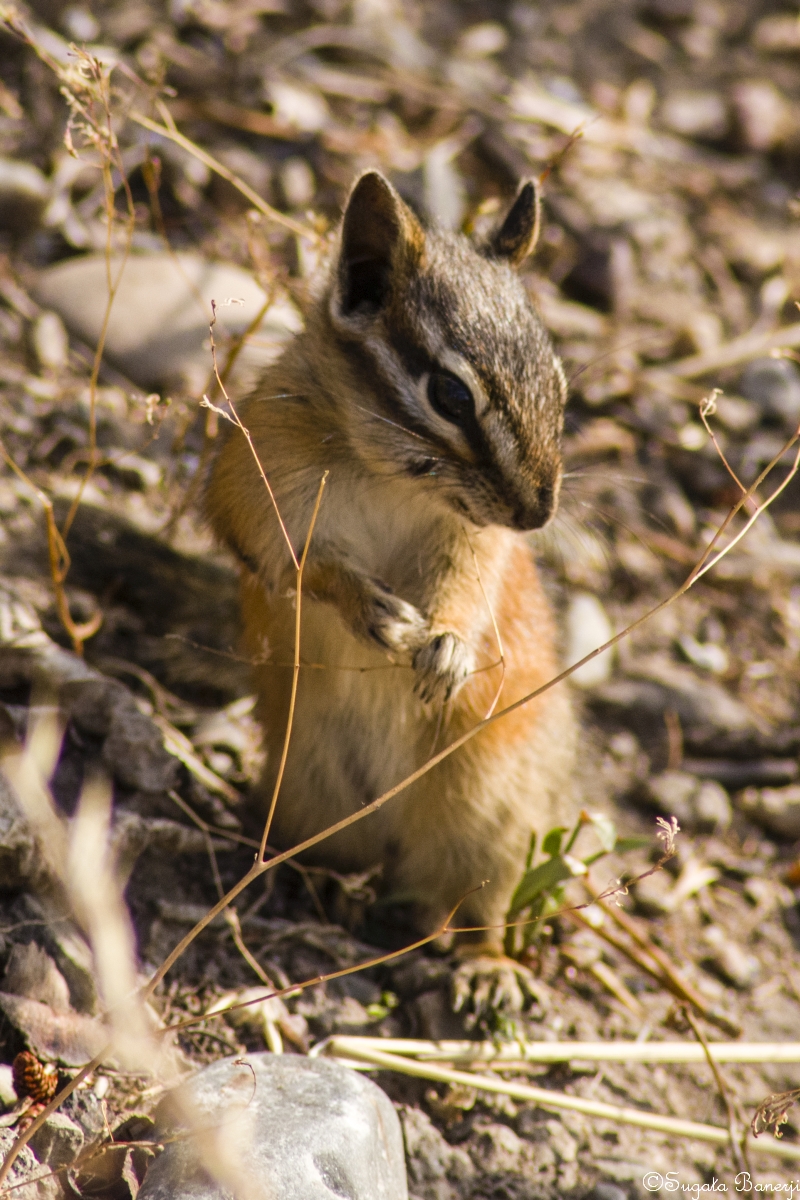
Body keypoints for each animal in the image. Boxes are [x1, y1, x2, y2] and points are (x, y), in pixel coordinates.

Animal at [207, 170, 577, 1015]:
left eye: (559, 383)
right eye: (450, 394)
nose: (537, 513)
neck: (386, 476)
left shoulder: (475, 542)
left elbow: (470, 589)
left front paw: (445, 648)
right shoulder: (256, 493)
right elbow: (299, 568)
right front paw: (371, 609)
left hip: (488, 815)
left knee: (474, 910)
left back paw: (488, 971)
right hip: (311, 790)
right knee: (341, 860)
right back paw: (322, 890)